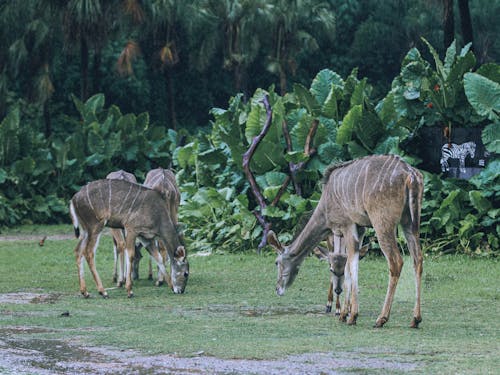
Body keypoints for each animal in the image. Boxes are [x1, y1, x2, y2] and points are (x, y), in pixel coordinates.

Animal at [268, 154, 424, 328]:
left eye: (276, 262)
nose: (277, 288)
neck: (325, 206)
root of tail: (410, 175)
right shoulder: (360, 229)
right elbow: (351, 264)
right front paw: (344, 313)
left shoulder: (347, 225)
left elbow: (350, 267)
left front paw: (350, 315)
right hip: (410, 223)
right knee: (418, 259)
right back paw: (415, 319)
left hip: (383, 223)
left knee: (396, 261)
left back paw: (381, 318)